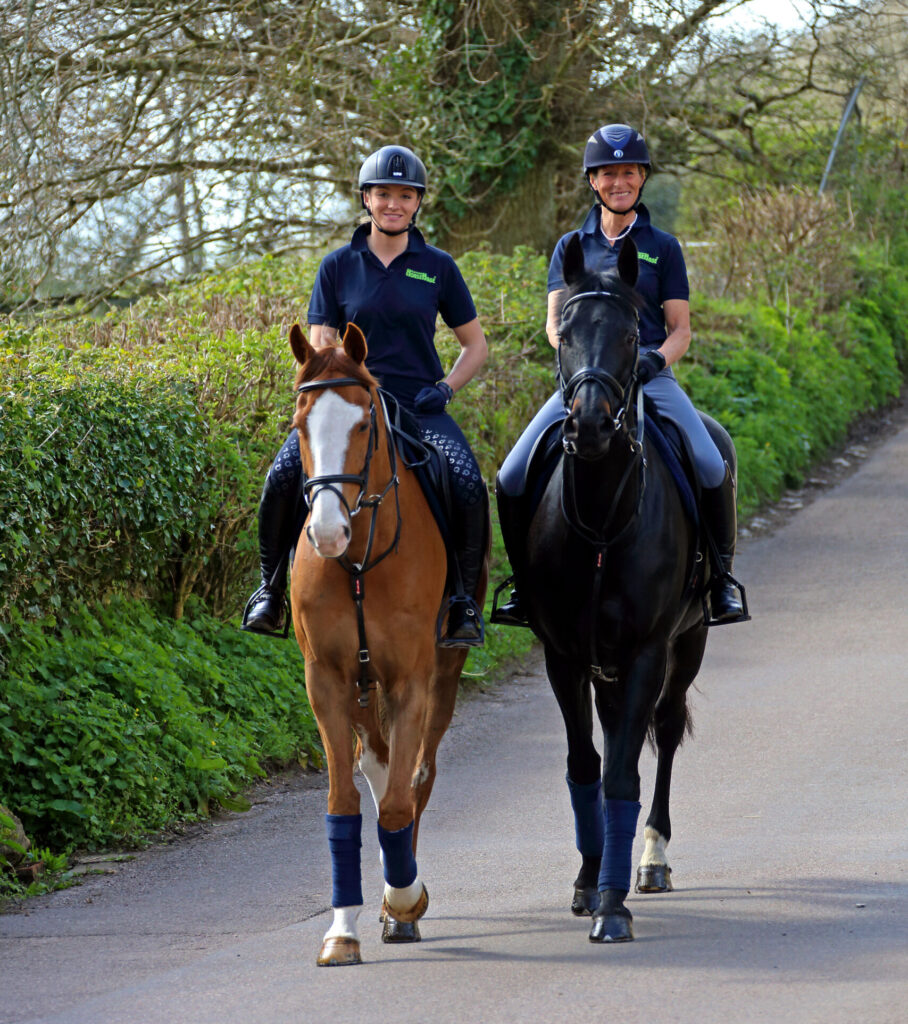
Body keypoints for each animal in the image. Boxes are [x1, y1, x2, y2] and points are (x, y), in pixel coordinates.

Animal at [288, 321, 489, 966]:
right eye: (300, 425)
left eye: (362, 425)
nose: (327, 532)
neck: (358, 558)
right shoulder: (326, 680)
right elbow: (343, 802)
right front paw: (340, 932)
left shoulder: (410, 680)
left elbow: (403, 795)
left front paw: (405, 901)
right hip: (359, 681)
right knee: (373, 762)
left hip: (442, 674)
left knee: (417, 774)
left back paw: (400, 902)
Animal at [503, 234, 737, 942]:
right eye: (566, 331)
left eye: (634, 332)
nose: (590, 427)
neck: (604, 518)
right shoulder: (562, 655)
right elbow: (587, 768)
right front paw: (587, 883)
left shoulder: (643, 653)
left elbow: (623, 775)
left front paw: (612, 905)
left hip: (687, 644)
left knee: (664, 730)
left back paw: (652, 860)